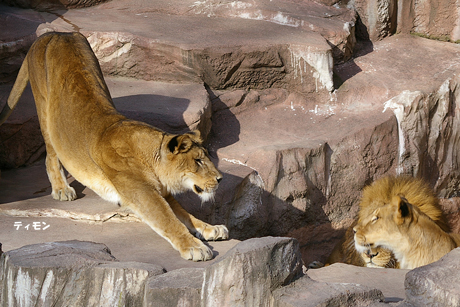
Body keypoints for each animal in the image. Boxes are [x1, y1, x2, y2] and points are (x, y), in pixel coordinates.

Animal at [0, 31, 228, 262]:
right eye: (198, 161)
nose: (220, 179)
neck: (152, 158)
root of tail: (55, 33)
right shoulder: (143, 193)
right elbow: (169, 221)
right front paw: (194, 247)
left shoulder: (162, 193)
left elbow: (185, 215)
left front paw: (210, 228)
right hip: (44, 109)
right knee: (51, 153)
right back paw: (62, 189)